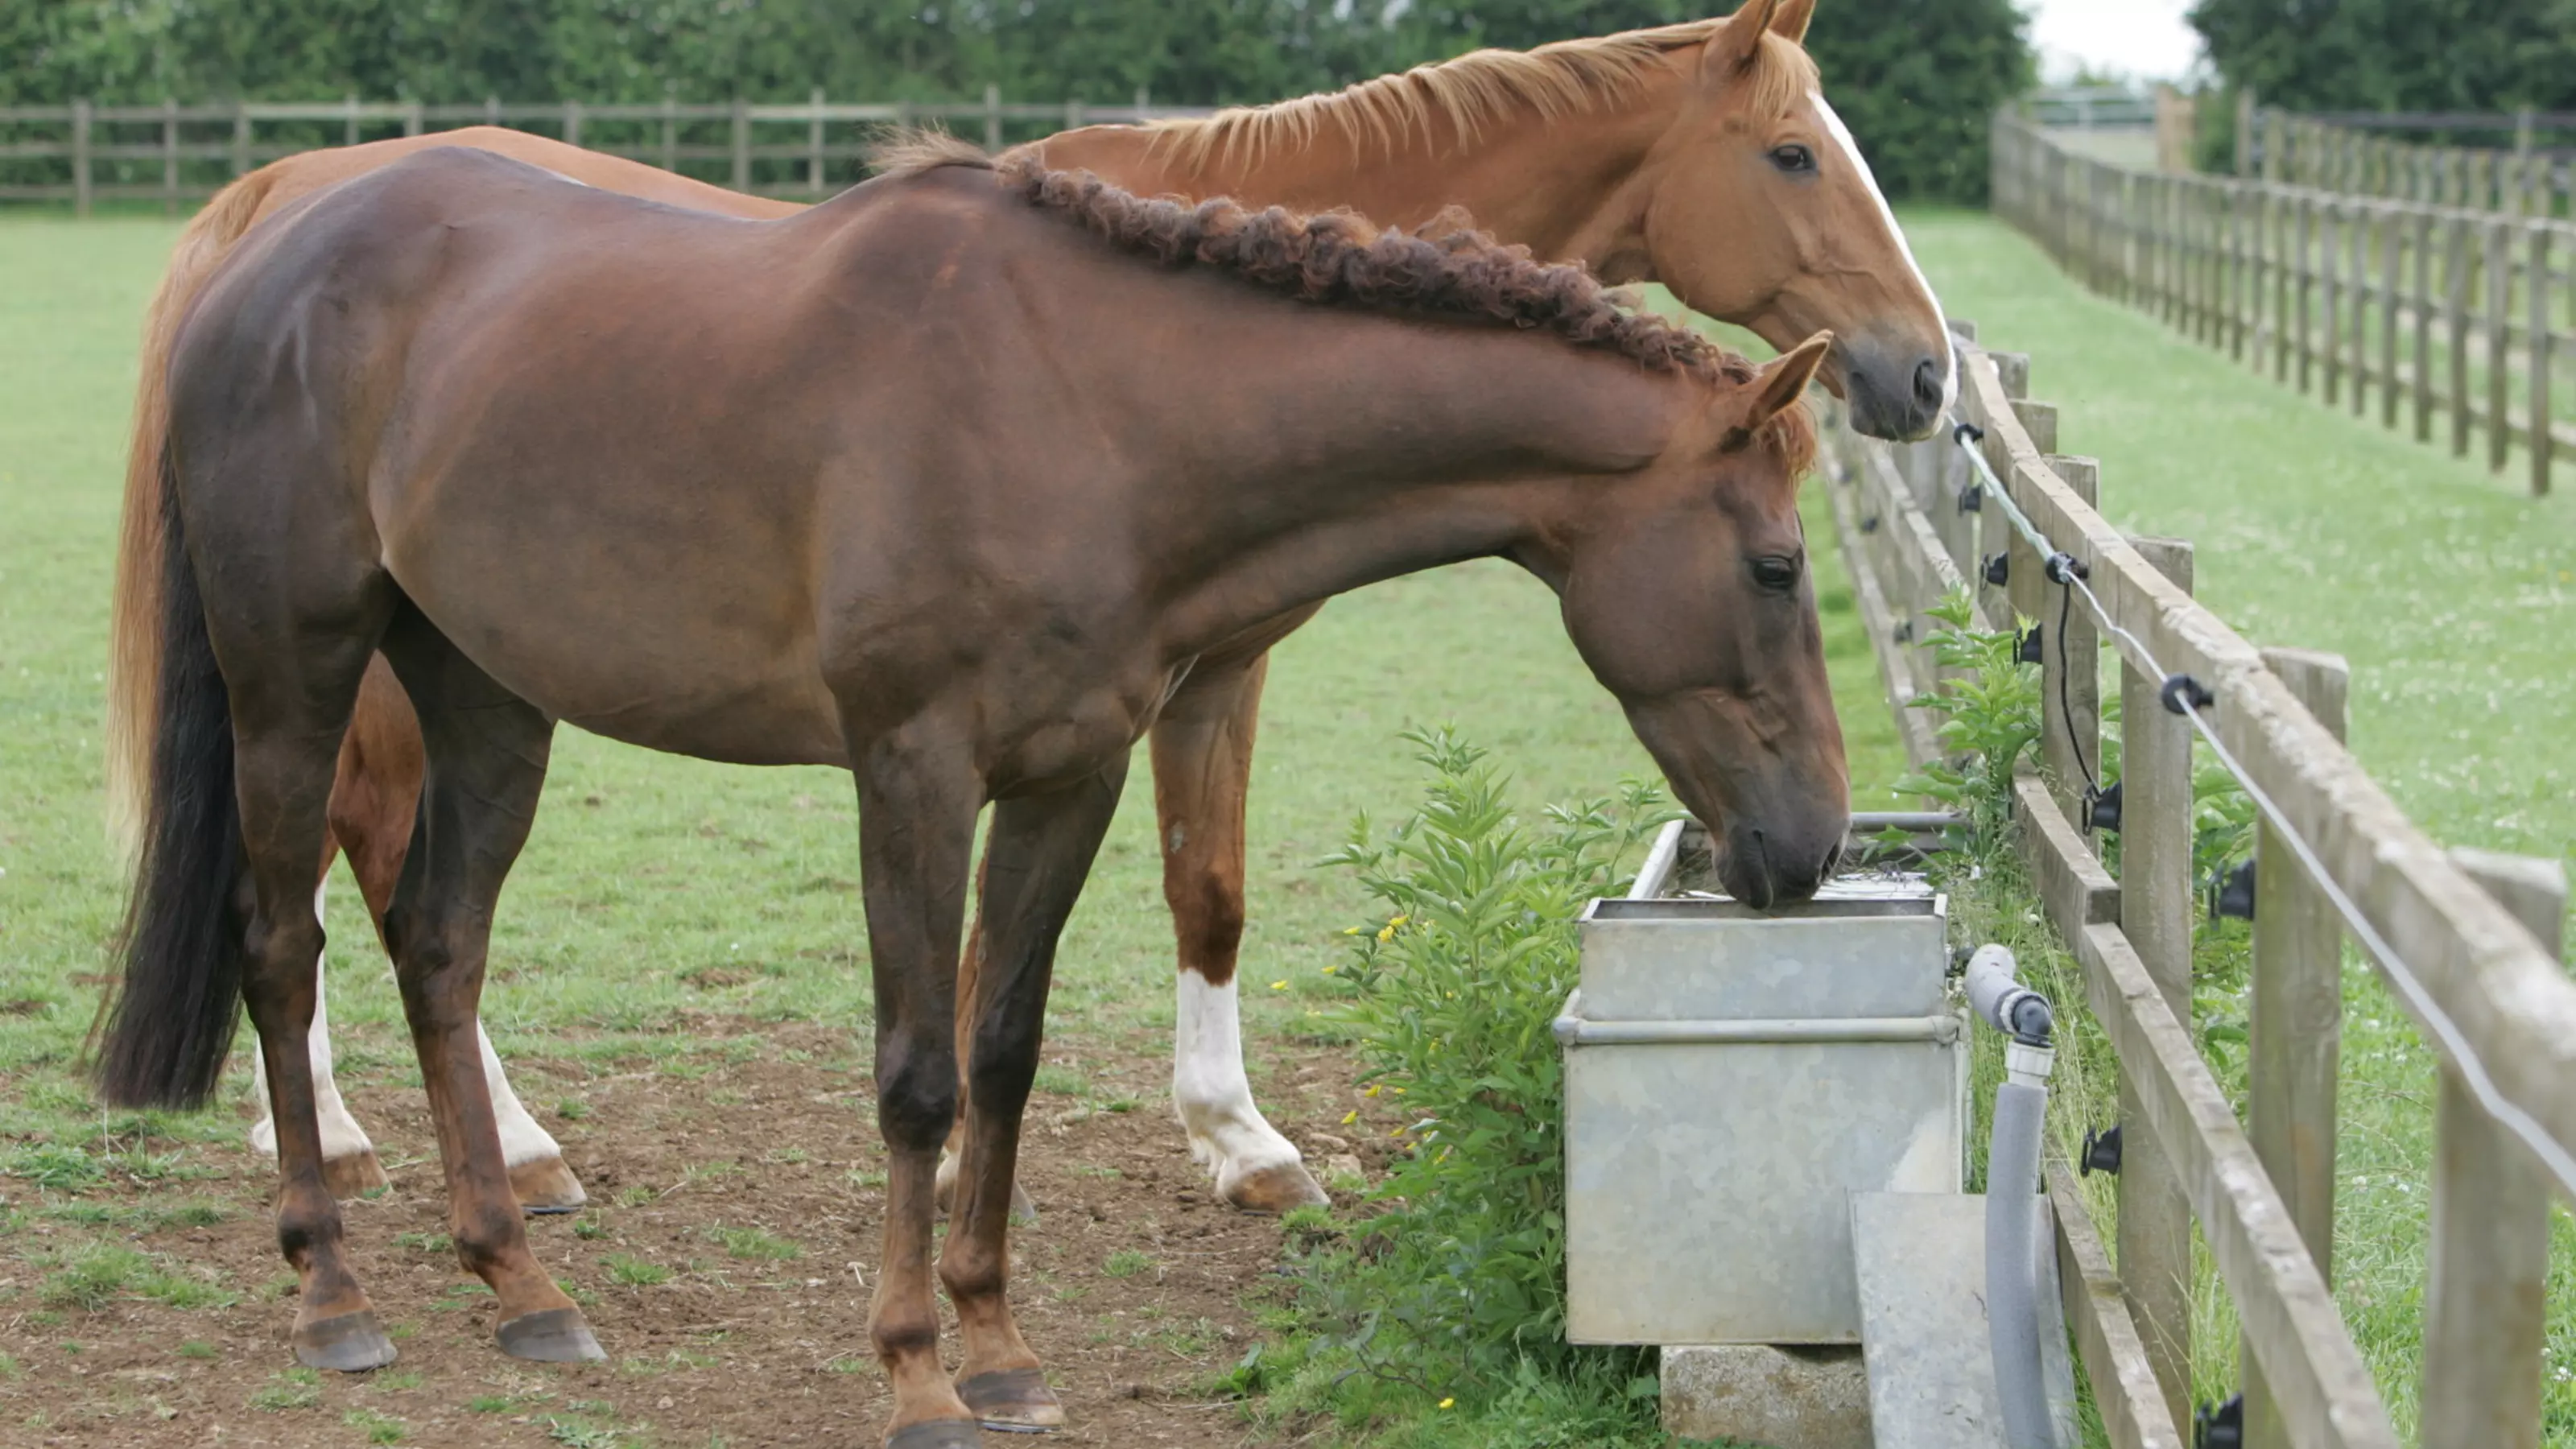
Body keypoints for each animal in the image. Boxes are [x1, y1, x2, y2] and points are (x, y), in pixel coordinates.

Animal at [95, 138, 1855, 1433]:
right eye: (1775, 568)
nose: (1808, 847)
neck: (1085, 408)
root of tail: (259, 253)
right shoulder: (913, 771)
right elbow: (917, 1077)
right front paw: (914, 1370)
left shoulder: (1070, 775)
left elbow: (1003, 1051)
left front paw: (998, 1347)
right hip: (296, 676)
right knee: (282, 946)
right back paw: (333, 1293)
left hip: (484, 700)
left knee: (439, 944)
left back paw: (521, 1285)